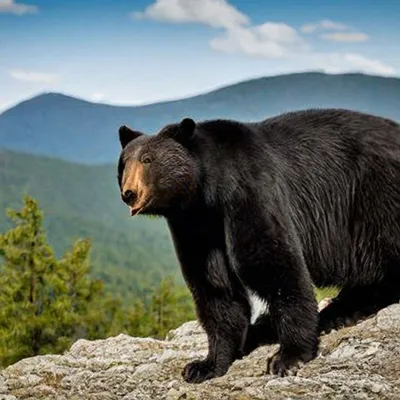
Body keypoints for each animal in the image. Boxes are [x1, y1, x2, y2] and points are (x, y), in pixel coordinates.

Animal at [117, 108, 400, 382]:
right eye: (124, 162)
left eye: (148, 160)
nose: (129, 193)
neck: (206, 191)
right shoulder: (196, 226)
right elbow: (213, 285)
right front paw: (205, 364)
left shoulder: (248, 190)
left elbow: (269, 262)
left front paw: (289, 357)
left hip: (374, 196)